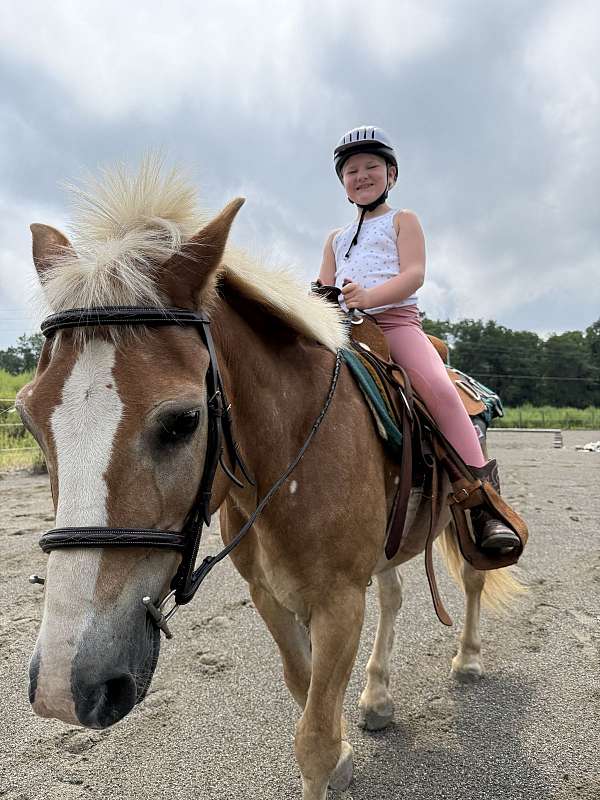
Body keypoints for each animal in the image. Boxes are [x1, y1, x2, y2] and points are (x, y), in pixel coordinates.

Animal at [18, 160, 520, 800]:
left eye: (183, 421)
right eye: (30, 418)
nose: (65, 688)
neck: (292, 453)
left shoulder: (338, 603)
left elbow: (314, 739)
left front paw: (334, 756)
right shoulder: (272, 598)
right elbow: (304, 692)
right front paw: (347, 752)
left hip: (465, 515)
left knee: (474, 579)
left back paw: (469, 659)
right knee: (394, 594)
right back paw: (377, 695)